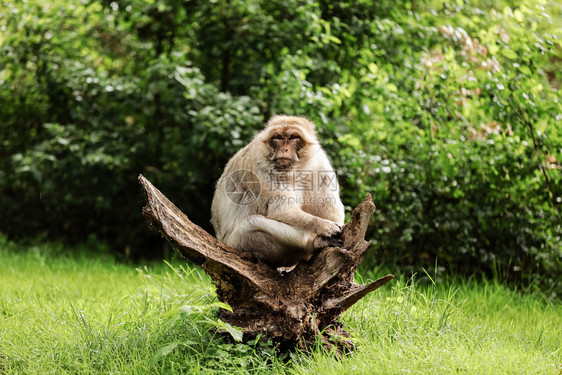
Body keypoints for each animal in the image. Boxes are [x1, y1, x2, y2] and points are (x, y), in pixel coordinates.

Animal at [209, 116, 344, 268]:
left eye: (293, 137)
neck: (296, 170)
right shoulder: (263, 168)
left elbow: (332, 209)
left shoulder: (321, 165)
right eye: (278, 137)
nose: (284, 149)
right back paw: (314, 243)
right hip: (237, 243)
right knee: (251, 225)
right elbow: (282, 211)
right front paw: (326, 226)